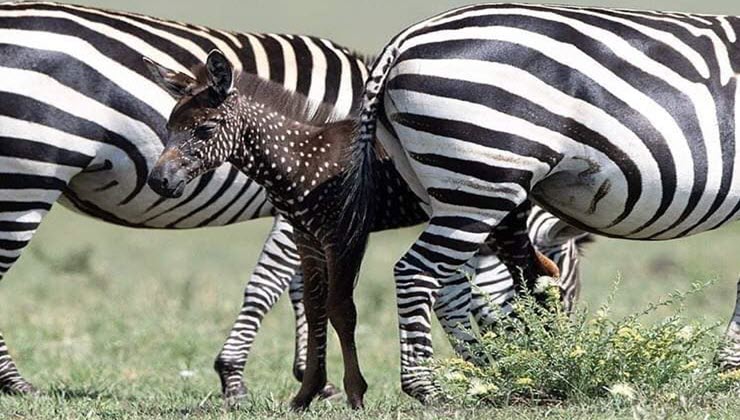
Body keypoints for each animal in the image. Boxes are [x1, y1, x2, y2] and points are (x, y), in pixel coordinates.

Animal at [0, 0, 588, 400]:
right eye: (564, 292)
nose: (552, 360)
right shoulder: (306, 208)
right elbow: (282, 286)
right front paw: (241, 379)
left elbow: (304, 289)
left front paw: (312, 378)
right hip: (26, 175)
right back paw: (17, 384)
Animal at [346, 2, 740, 404]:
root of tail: (404, 40)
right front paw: (730, 371)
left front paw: (728, 368)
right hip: (483, 181)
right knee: (416, 272)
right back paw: (430, 388)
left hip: (442, 188)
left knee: (450, 285)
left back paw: (485, 376)